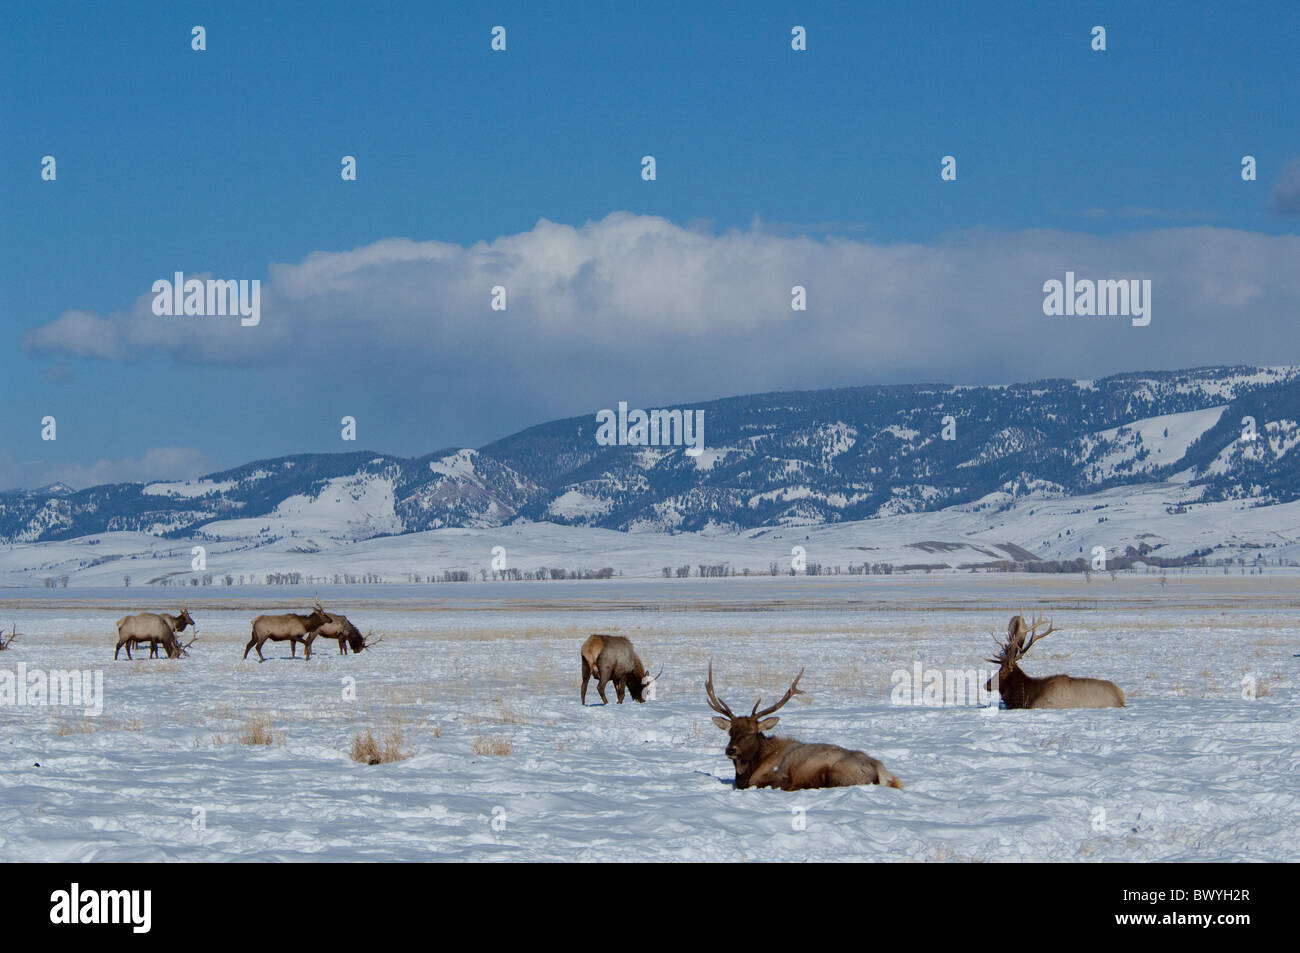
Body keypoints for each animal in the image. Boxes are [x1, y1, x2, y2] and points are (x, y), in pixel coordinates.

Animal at [705, 663, 903, 791]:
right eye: (730, 732)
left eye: (751, 733)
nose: (730, 750)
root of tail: (883, 772)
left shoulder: (778, 777)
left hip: (839, 774)